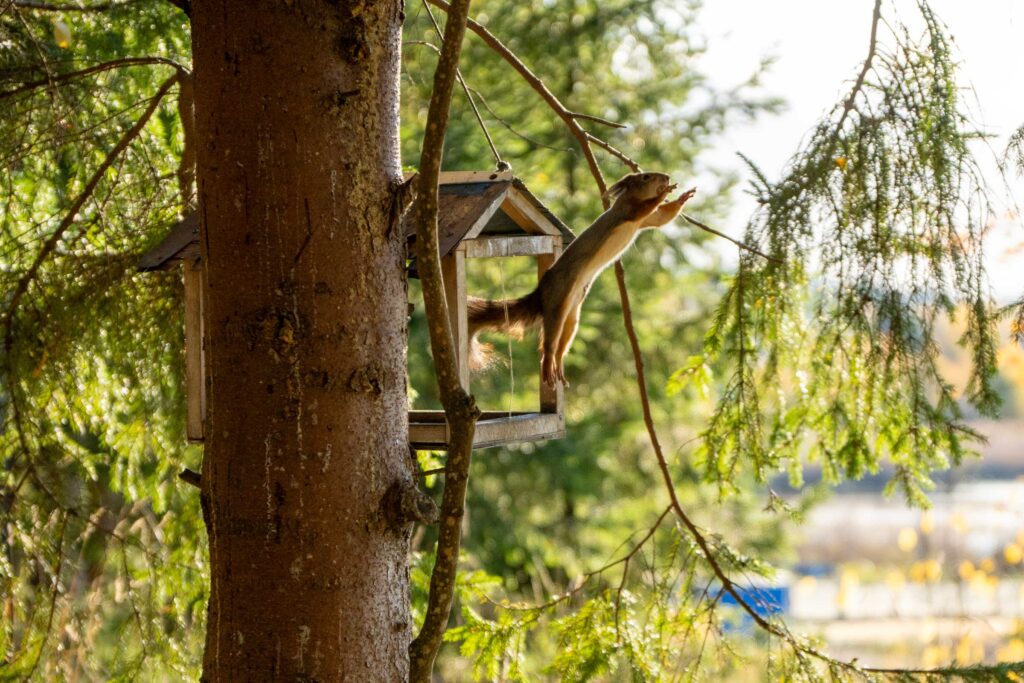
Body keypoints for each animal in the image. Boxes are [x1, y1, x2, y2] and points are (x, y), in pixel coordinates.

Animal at [467, 172, 696, 386]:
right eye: (646, 177)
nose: (666, 178)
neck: (628, 200)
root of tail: (541, 291)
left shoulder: (645, 221)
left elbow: (662, 218)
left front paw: (683, 197)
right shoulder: (629, 212)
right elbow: (648, 208)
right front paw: (664, 193)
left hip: (572, 314)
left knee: (561, 346)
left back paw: (559, 367)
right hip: (557, 303)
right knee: (547, 345)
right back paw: (548, 366)